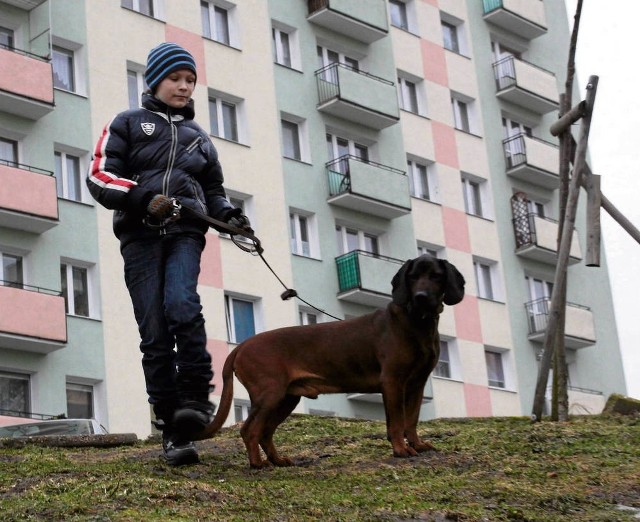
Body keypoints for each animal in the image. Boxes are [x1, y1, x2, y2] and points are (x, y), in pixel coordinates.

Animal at [200, 253, 464, 468]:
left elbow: (412, 420)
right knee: (249, 430)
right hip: (270, 395)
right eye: (412, 277)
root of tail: (241, 346)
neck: (416, 321)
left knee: (265, 432)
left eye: (436, 276)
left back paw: (277, 460)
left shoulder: (417, 383)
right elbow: (397, 423)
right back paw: (257, 464)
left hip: (286, 399)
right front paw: (400, 449)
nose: (421, 297)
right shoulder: (392, 381)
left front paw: (417, 445)